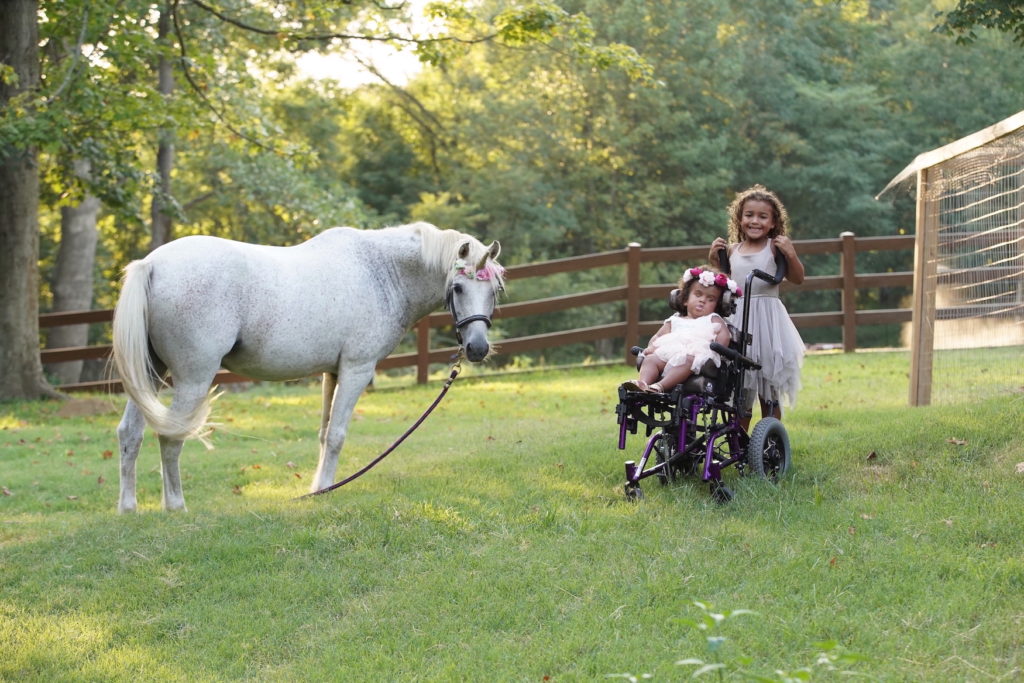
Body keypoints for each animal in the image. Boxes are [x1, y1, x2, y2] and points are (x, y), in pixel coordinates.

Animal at [112, 224, 503, 511]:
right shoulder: (357, 370)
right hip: (193, 379)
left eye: (494, 291)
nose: (477, 348)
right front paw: (326, 488)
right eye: (457, 287)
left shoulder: (332, 372)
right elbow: (337, 435)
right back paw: (175, 506)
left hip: (150, 375)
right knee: (171, 436)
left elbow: (323, 433)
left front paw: (318, 487)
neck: (380, 272)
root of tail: (153, 264)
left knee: (130, 433)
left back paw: (128, 507)